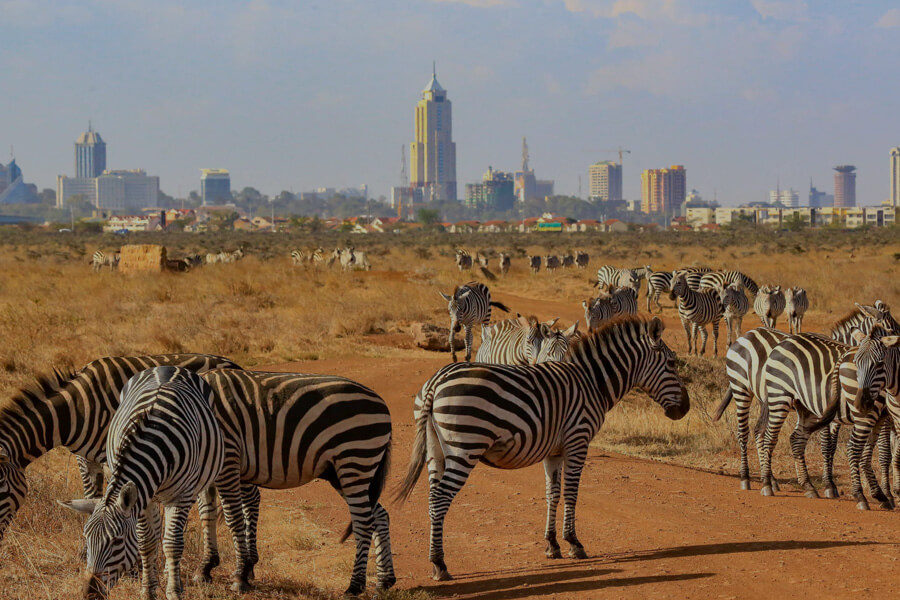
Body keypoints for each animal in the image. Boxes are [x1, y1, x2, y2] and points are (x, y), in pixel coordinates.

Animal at [0, 354, 239, 548]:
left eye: (1, 491)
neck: (76, 410)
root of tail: (233, 364)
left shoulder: (112, 456)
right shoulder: (85, 459)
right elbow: (92, 498)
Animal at [61, 366, 225, 600]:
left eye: (117, 541)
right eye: (86, 538)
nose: (89, 594)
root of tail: (167, 367)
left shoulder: (181, 496)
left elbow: (173, 544)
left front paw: (174, 591)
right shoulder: (142, 497)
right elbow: (146, 542)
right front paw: (148, 590)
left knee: (192, 523)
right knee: (156, 533)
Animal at [202, 370, 396, 596]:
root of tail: (382, 403)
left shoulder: (228, 458)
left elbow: (233, 518)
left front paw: (240, 576)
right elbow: (206, 515)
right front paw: (205, 568)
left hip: (355, 459)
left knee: (364, 522)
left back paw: (354, 587)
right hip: (345, 472)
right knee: (380, 515)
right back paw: (384, 582)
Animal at [396, 316, 688, 580]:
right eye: (672, 363)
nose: (684, 410)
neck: (592, 382)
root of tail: (437, 380)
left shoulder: (554, 451)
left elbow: (552, 494)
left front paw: (552, 545)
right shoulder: (577, 440)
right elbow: (571, 494)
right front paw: (574, 543)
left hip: (435, 451)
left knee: (432, 497)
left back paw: (435, 561)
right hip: (464, 447)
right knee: (440, 499)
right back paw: (440, 564)